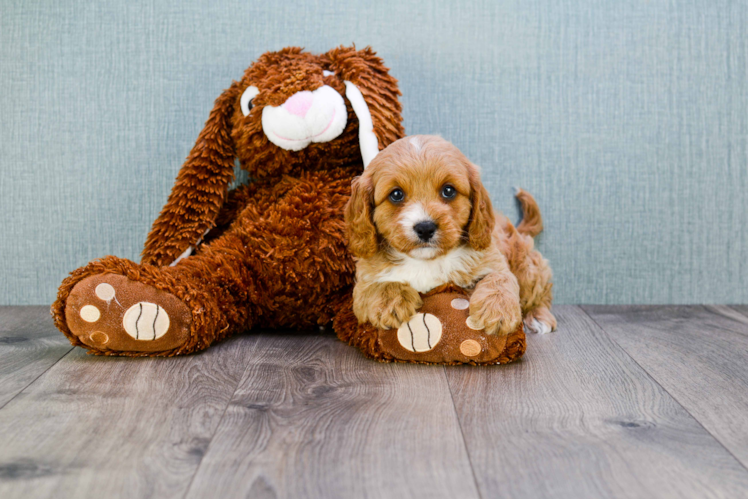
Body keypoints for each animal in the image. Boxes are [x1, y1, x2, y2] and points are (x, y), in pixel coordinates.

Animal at [344, 133, 556, 336]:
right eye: (396, 194)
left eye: (448, 190)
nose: (425, 227)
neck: (427, 261)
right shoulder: (362, 284)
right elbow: (376, 286)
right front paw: (391, 302)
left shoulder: (494, 260)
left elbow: (500, 279)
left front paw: (497, 310)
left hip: (526, 267)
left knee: (539, 292)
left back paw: (538, 316)